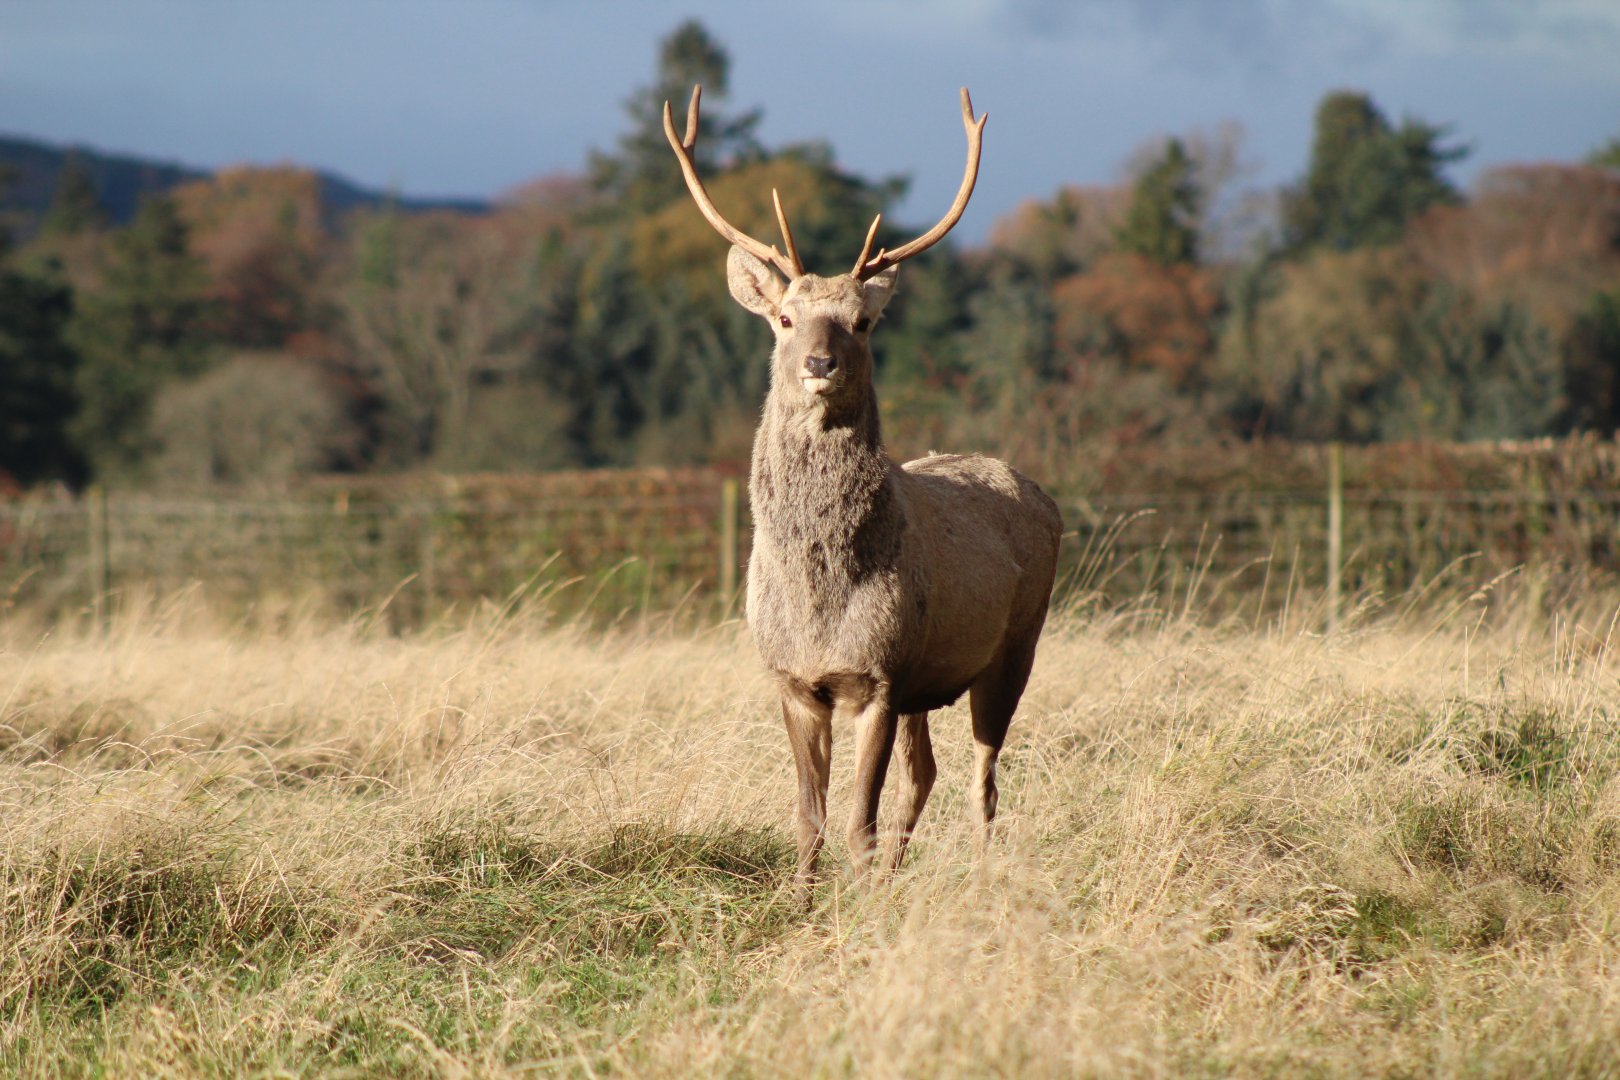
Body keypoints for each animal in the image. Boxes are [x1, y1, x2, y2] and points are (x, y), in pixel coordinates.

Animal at [665, 85, 1062, 899]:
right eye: (785, 317)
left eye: (863, 321)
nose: (819, 362)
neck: (822, 605)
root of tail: (1045, 497)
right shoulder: (794, 679)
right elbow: (809, 817)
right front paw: (804, 899)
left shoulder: (880, 675)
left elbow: (857, 822)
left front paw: (858, 902)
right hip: (926, 683)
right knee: (926, 774)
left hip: (1016, 644)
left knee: (984, 779)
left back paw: (980, 879)